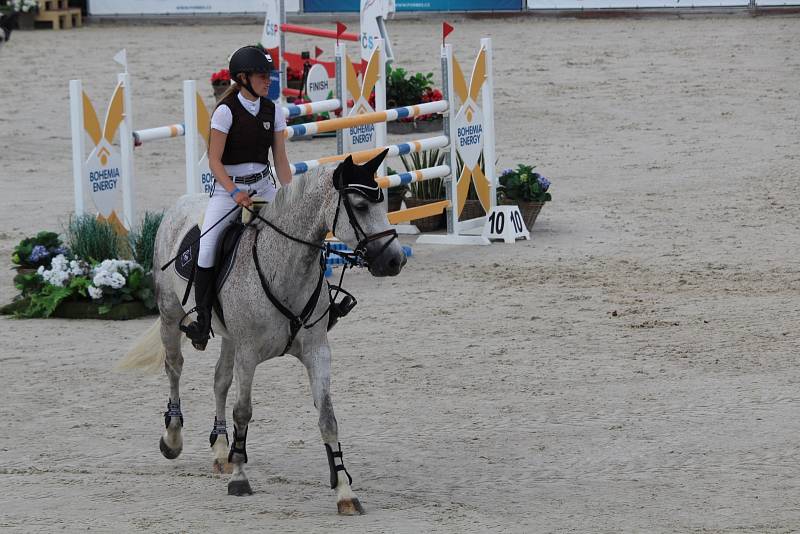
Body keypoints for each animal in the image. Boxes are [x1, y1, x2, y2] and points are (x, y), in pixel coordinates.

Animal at [119, 151, 406, 516]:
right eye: (360, 205)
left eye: (383, 201)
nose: (395, 260)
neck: (285, 267)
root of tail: (181, 203)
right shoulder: (249, 353)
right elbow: (243, 411)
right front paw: (240, 478)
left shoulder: (316, 351)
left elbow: (327, 417)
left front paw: (344, 491)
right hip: (171, 316)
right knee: (174, 368)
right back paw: (173, 438)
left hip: (228, 338)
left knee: (219, 381)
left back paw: (221, 450)